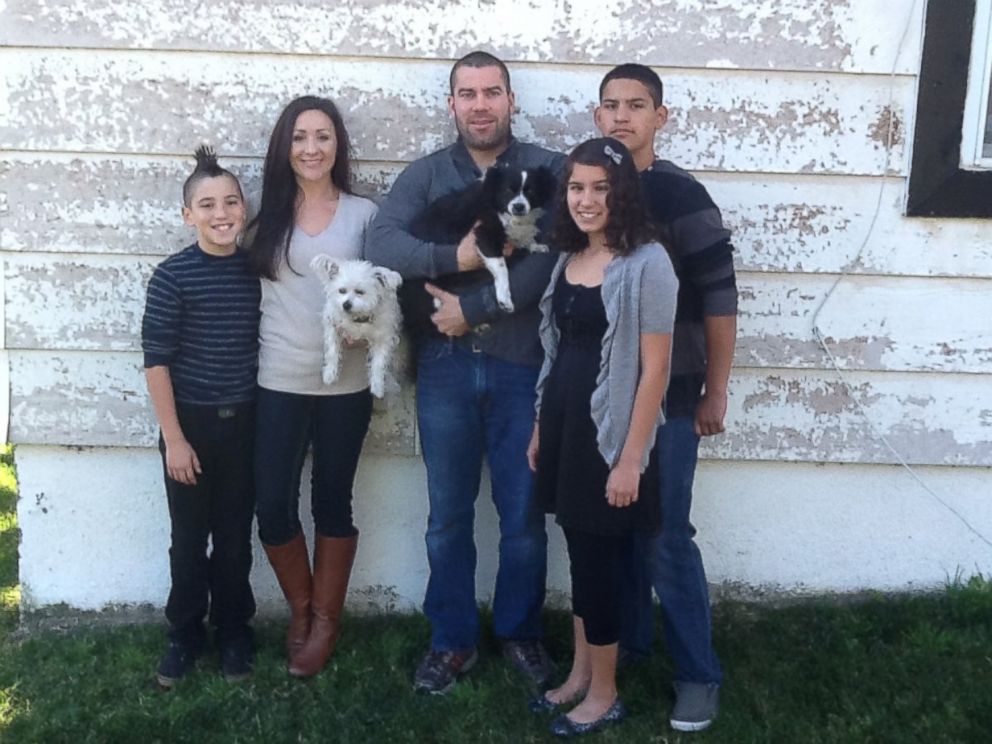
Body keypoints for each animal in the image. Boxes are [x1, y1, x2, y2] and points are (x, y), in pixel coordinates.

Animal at [310, 254, 404, 398]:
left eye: (360, 292)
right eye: (341, 290)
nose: (346, 304)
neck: (357, 319)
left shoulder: (384, 337)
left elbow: (379, 363)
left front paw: (377, 386)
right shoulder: (332, 325)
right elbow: (332, 351)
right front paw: (329, 374)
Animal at [404, 166, 560, 328]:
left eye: (531, 191)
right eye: (508, 190)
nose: (519, 207)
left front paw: (535, 245)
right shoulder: (485, 235)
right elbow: (502, 268)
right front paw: (504, 299)